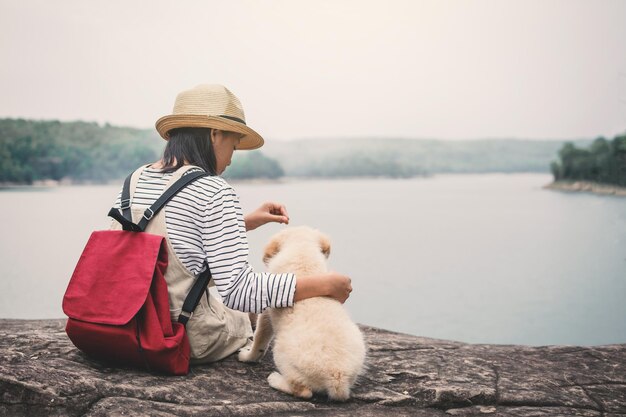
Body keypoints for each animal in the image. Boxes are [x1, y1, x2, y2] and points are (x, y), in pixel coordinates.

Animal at [238, 226, 366, 402]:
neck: (302, 250)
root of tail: (337, 377)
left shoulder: (267, 310)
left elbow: (259, 340)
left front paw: (247, 356)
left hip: (282, 353)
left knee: (302, 391)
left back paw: (275, 379)